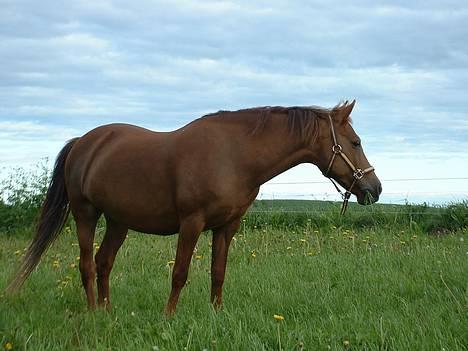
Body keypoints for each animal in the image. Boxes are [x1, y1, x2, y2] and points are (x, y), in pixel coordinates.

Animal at [6, 99, 380, 316]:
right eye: (355, 142)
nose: (374, 189)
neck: (234, 155)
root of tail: (83, 143)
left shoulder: (227, 227)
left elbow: (218, 273)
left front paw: (216, 316)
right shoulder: (191, 223)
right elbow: (180, 273)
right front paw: (169, 317)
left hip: (118, 222)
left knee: (103, 262)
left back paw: (107, 310)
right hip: (85, 214)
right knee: (86, 264)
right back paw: (93, 313)